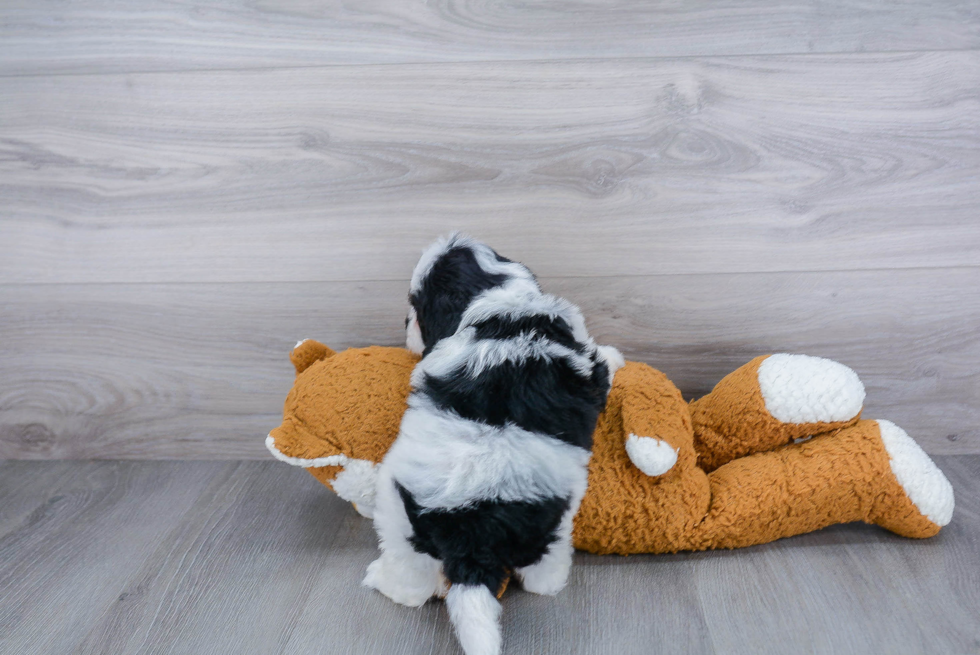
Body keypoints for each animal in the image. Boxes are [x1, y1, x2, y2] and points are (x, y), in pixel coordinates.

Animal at [364, 234, 624, 655]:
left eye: (416, 305)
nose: (404, 323)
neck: (498, 294)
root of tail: (472, 531)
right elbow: (603, 360)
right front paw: (618, 357)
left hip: (413, 517)